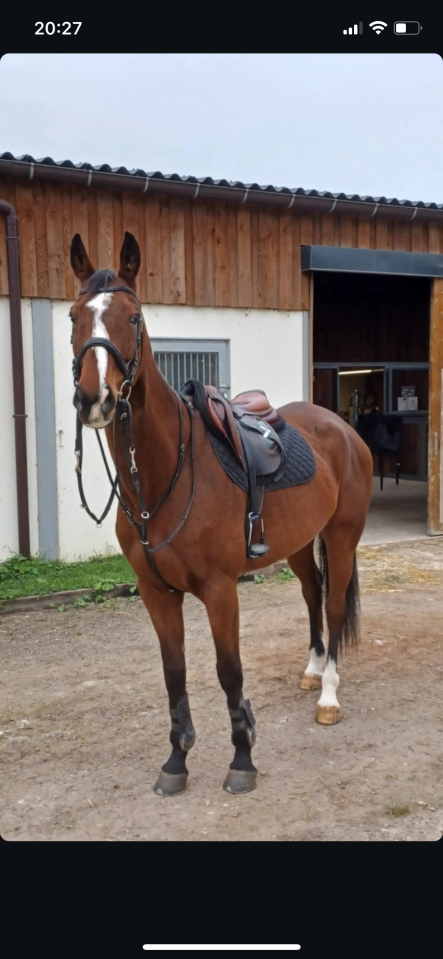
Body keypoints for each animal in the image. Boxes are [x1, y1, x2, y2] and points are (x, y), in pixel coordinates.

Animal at [69, 231, 374, 796]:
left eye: (135, 317)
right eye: (75, 315)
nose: (94, 398)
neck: (165, 478)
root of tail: (343, 429)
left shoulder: (219, 589)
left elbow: (229, 671)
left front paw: (242, 760)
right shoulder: (156, 592)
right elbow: (174, 674)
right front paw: (176, 761)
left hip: (342, 537)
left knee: (335, 603)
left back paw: (329, 695)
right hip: (300, 545)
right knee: (312, 594)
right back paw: (312, 670)